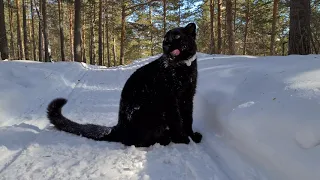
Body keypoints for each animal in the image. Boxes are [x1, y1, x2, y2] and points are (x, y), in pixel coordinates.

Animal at [47, 22, 202, 147]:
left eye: (177, 37)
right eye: (165, 39)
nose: (167, 44)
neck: (183, 67)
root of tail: (119, 127)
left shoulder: (188, 97)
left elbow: (188, 118)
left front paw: (192, 136)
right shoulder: (170, 99)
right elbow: (177, 121)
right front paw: (182, 139)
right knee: (138, 142)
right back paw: (165, 139)